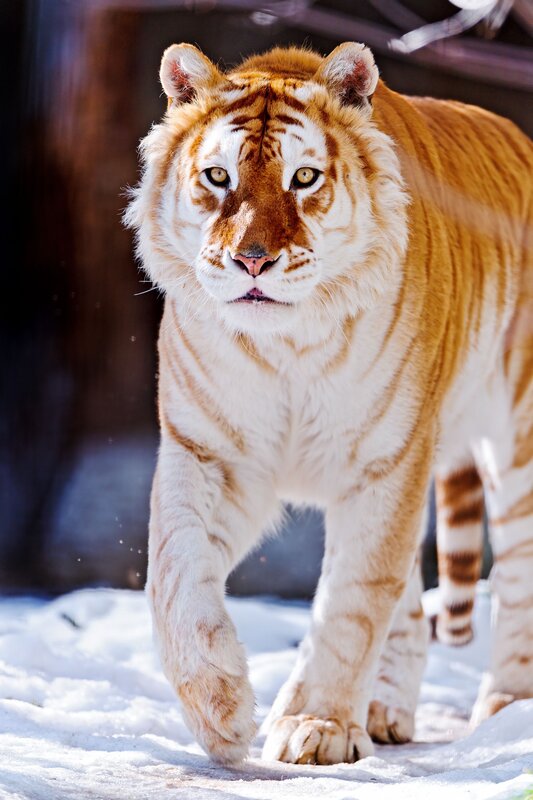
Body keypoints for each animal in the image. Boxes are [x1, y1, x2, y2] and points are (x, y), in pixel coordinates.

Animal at [125, 41, 533, 765]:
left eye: (305, 177)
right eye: (219, 177)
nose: (252, 261)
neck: (285, 346)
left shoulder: (386, 462)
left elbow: (352, 600)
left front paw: (316, 726)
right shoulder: (210, 454)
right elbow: (174, 574)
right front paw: (221, 710)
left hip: (516, 442)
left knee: (516, 577)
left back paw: (507, 705)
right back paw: (385, 711)